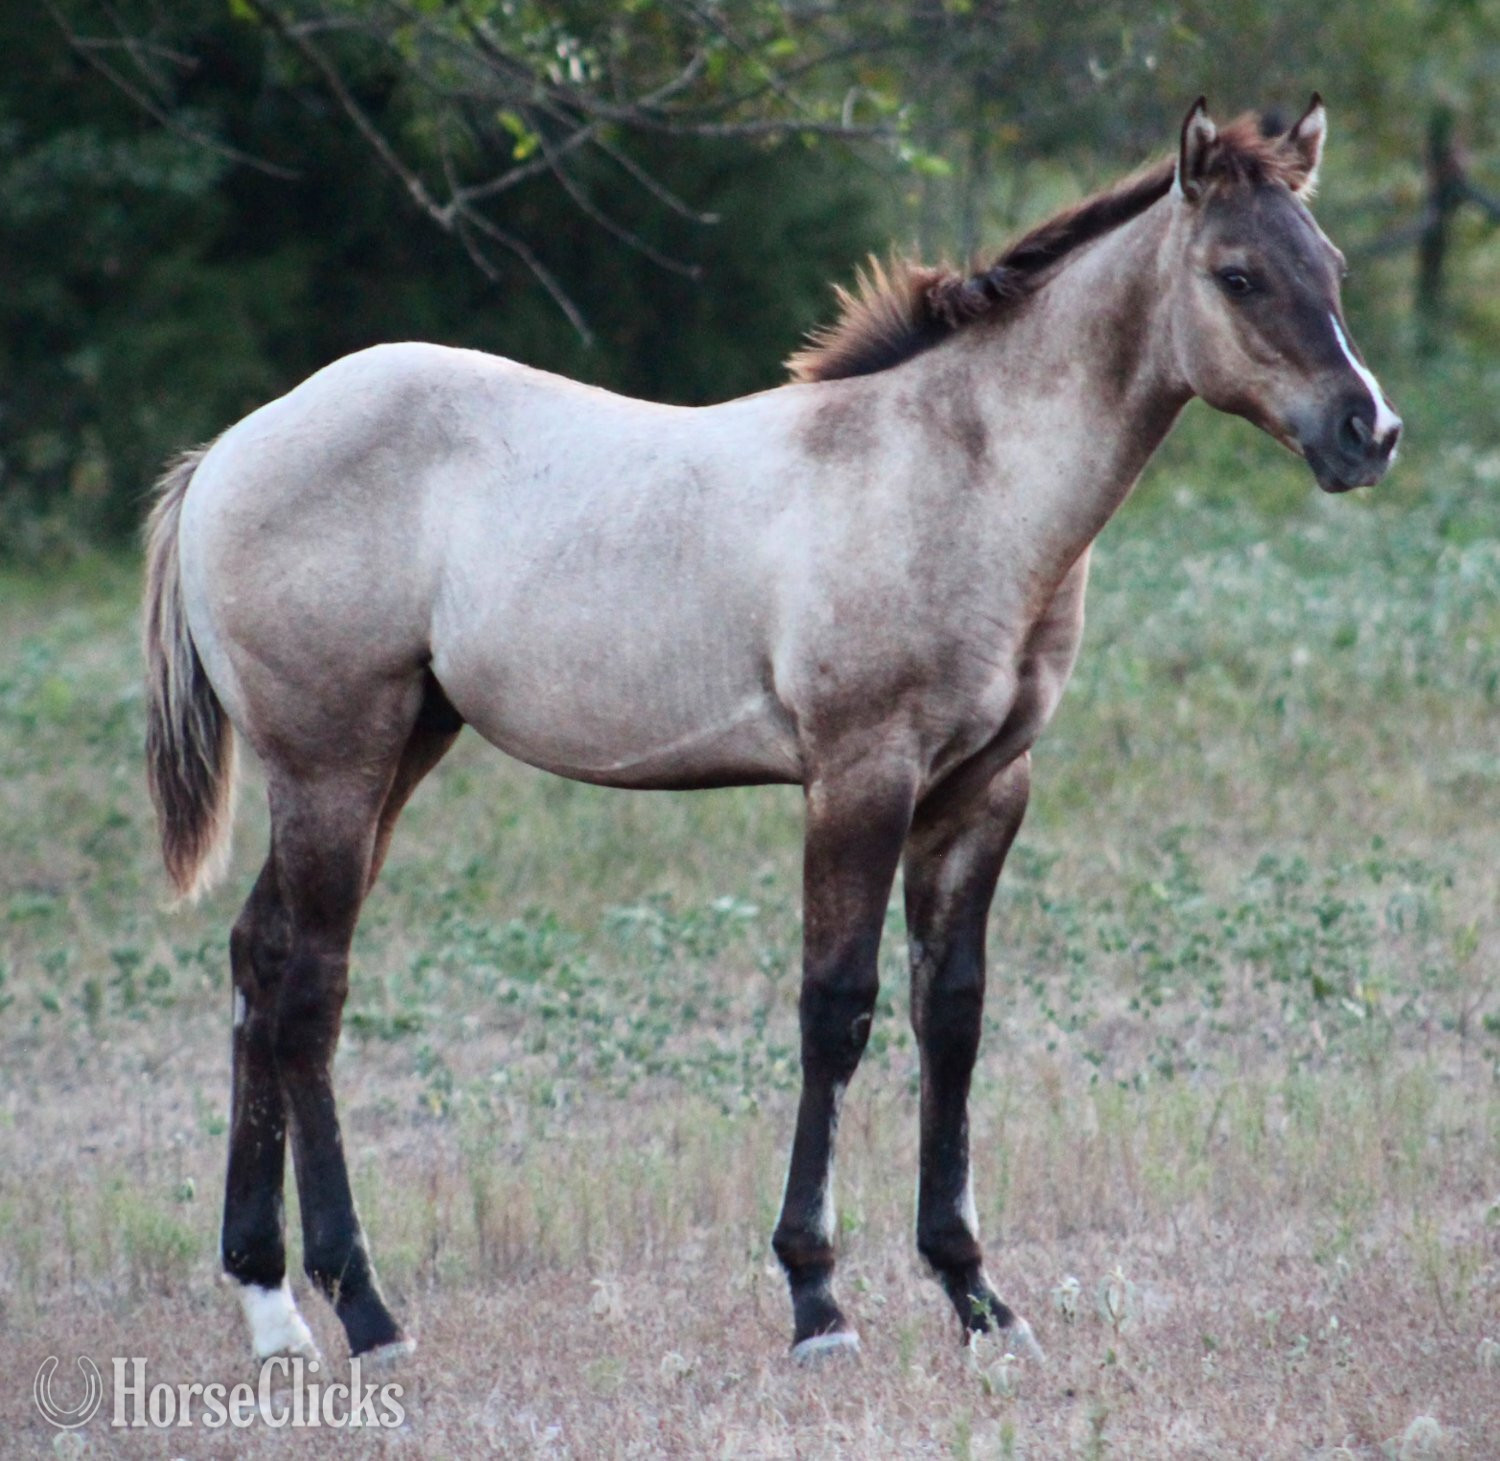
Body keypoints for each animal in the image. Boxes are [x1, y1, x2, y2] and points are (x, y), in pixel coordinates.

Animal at [143, 96, 1399, 1368]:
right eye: (1237, 274)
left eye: (1332, 266)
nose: (1370, 431)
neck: (953, 478)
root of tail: (226, 452)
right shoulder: (860, 774)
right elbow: (836, 1012)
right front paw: (817, 1301)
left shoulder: (985, 789)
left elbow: (952, 1017)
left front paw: (977, 1295)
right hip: (334, 764)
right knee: (310, 996)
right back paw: (365, 1306)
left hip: (394, 755)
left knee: (260, 961)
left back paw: (270, 1303)